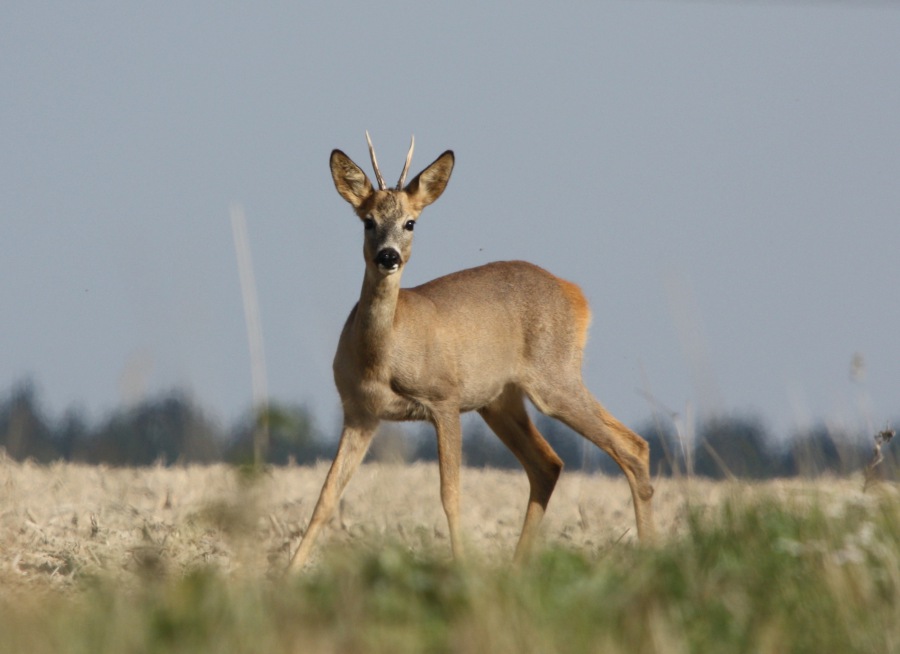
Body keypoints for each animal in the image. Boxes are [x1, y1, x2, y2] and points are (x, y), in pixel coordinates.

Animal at [288, 133, 654, 570]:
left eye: (411, 222)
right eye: (368, 221)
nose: (388, 256)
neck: (381, 357)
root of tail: (576, 295)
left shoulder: (444, 398)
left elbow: (450, 496)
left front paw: (462, 569)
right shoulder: (360, 412)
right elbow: (326, 497)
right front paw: (287, 573)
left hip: (555, 377)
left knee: (631, 447)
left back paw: (652, 556)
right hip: (500, 400)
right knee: (549, 463)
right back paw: (517, 567)